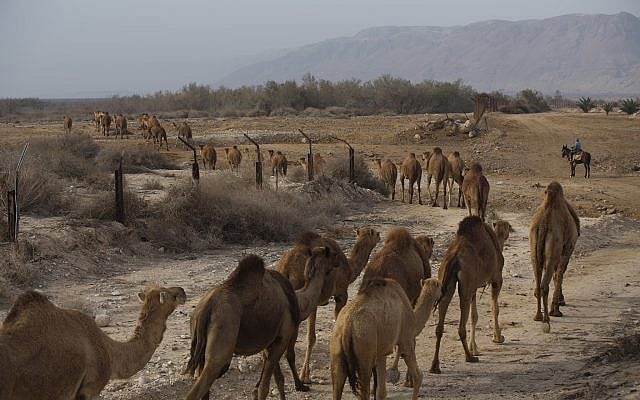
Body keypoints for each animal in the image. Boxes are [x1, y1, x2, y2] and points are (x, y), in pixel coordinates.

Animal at [184, 248, 336, 400]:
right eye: (331, 258)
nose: (337, 263)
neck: (299, 302)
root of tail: (205, 309)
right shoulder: (282, 338)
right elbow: (264, 387)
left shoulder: (269, 343)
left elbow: (277, 379)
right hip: (223, 335)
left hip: (200, 342)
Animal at [277, 227, 381, 384]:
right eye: (375, 233)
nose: (380, 236)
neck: (349, 268)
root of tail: (286, 267)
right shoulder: (341, 295)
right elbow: (318, 334)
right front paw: (305, 376)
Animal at [430, 216, 508, 374]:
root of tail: (454, 258)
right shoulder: (497, 278)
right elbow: (495, 309)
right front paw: (498, 338)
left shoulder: (473, 287)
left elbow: (474, 316)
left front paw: (475, 348)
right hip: (466, 282)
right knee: (460, 326)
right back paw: (469, 357)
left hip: (446, 280)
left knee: (440, 322)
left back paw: (435, 365)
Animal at [529, 181, 580, 333]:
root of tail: (543, 224)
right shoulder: (567, 248)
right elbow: (559, 274)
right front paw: (556, 309)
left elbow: (556, 274)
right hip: (555, 244)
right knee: (545, 284)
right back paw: (547, 320)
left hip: (534, 247)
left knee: (538, 280)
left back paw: (538, 316)